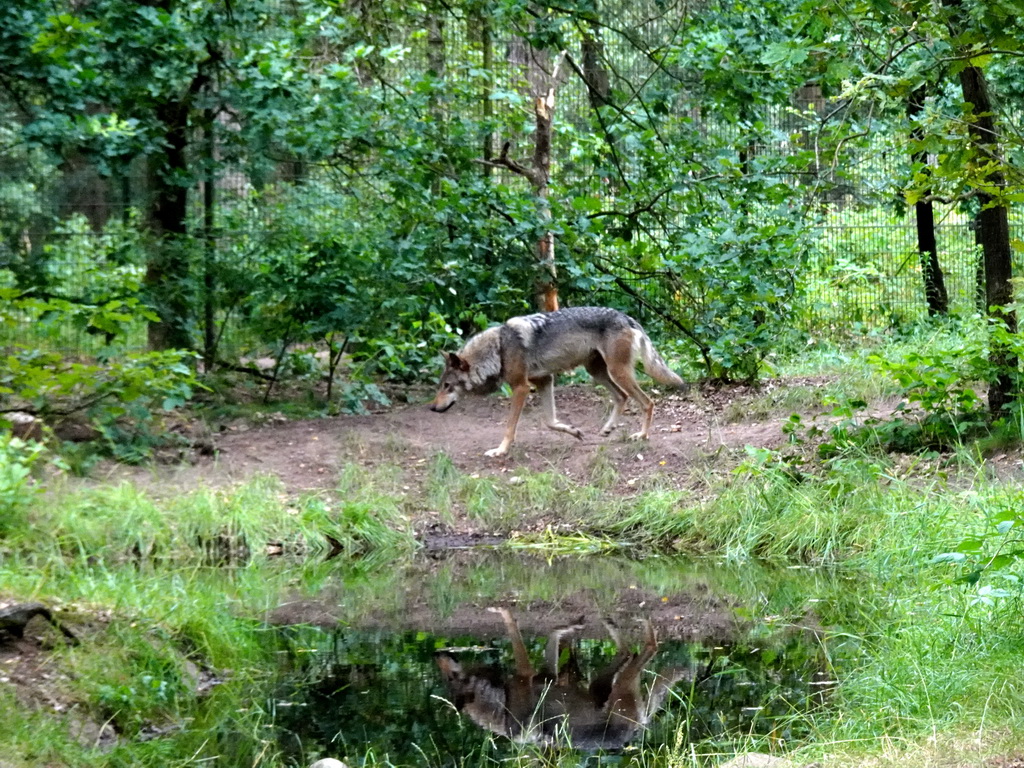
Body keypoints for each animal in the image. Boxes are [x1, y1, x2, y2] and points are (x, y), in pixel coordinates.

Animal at [428, 309, 684, 460]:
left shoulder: (521, 387)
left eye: (448, 386)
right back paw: (607, 429)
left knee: (648, 402)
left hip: (616, 372)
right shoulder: (545, 380)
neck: (499, 348)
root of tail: (626, 317)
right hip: (597, 372)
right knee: (622, 397)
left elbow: (510, 427)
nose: (431, 407)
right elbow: (550, 421)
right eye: (441, 385)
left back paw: (641, 436)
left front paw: (500, 450)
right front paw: (574, 432)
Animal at [434, 606, 688, 753]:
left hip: (611, 684)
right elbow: (534, 628)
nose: (438, 656)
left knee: (639, 648)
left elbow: (539, 629)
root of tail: (637, 728)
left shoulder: (537, 675)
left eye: (450, 677)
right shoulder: (536, 674)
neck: (500, 708)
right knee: (637, 649)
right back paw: (622, 622)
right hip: (612, 684)